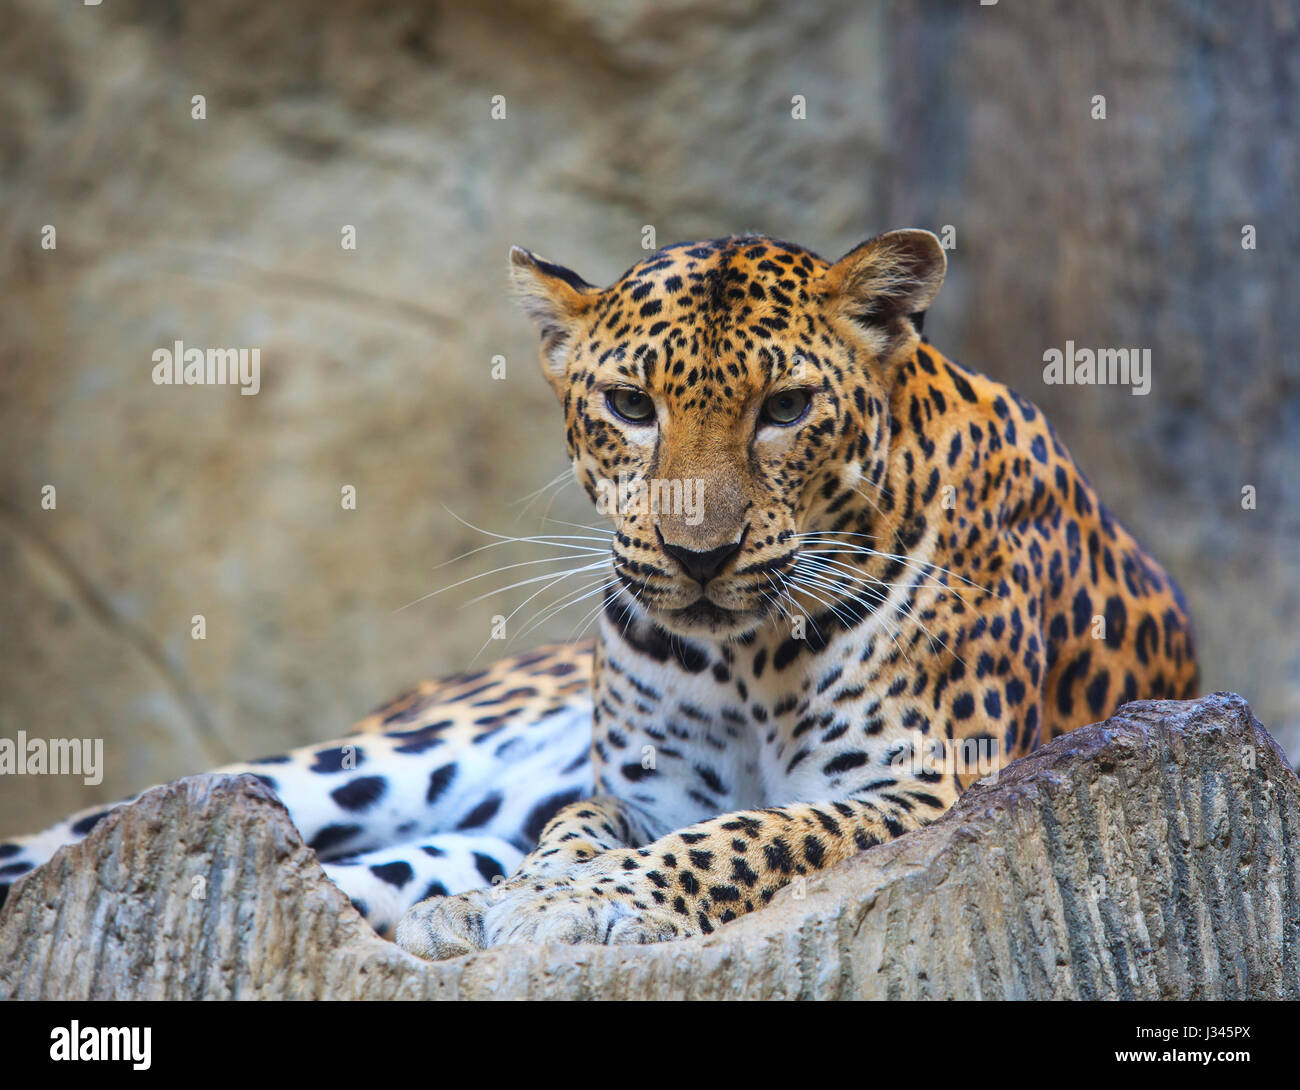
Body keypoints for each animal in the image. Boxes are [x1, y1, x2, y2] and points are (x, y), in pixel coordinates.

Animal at [0, 229, 1198, 959]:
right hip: (374, 762)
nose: (698, 555)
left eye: (785, 407)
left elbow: (757, 832)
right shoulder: (643, 788)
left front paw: (579, 903)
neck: (747, 655)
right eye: (629, 404)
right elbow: (585, 825)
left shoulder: (936, 785)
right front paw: (526, 898)